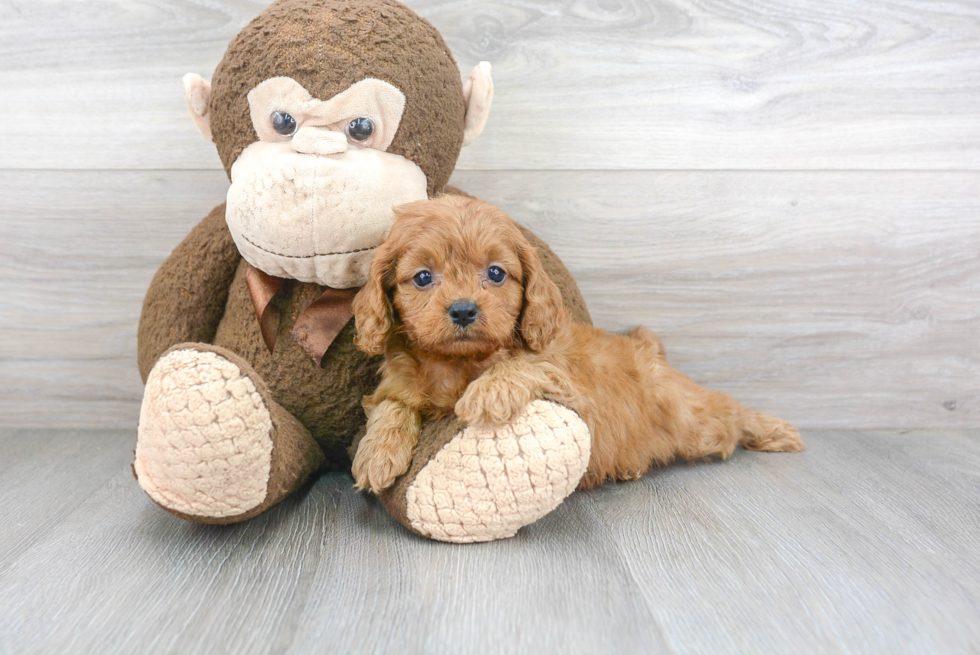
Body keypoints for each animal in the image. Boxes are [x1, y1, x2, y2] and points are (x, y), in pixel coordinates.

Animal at [352, 197, 804, 494]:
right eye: (423, 277)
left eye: (496, 273)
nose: (463, 311)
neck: (457, 363)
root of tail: (651, 355)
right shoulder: (395, 385)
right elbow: (392, 406)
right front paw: (378, 454)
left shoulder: (571, 387)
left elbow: (527, 364)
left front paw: (490, 390)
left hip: (691, 418)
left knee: (727, 410)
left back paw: (776, 430)